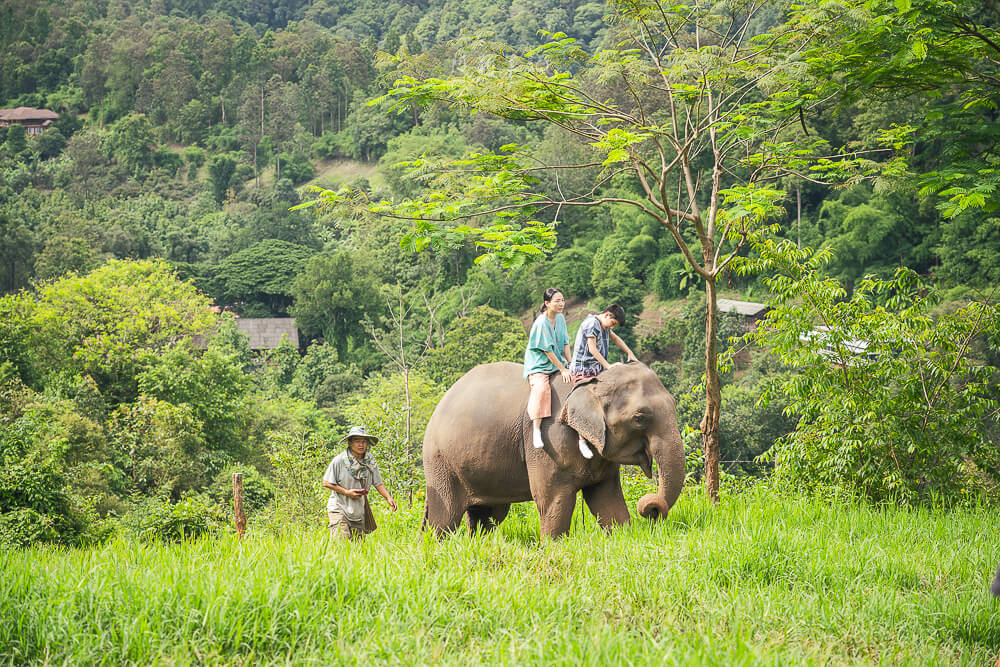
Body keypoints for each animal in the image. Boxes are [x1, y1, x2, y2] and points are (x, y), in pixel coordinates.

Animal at [421, 361, 685, 538]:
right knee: (445, 518)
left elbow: (607, 499)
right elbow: (553, 499)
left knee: (488, 514)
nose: (651, 510)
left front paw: (621, 538)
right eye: (640, 418)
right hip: (440, 463)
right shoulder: (547, 443)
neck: (591, 383)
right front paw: (554, 546)